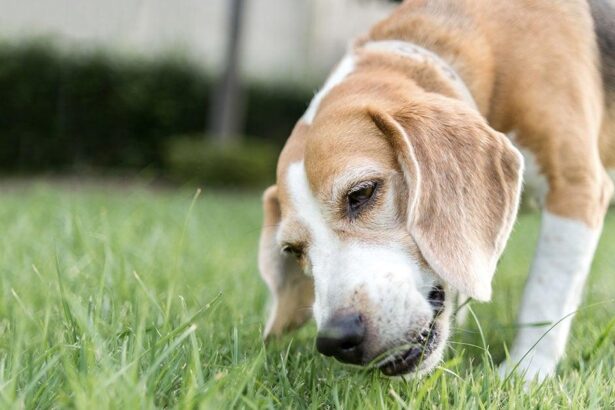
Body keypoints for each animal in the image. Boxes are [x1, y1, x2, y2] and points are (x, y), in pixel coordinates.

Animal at [258, 0, 612, 382]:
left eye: (362, 193)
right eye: (293, 250)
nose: (337, 339)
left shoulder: (576, 187)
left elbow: (546, 291)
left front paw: (525, 372)